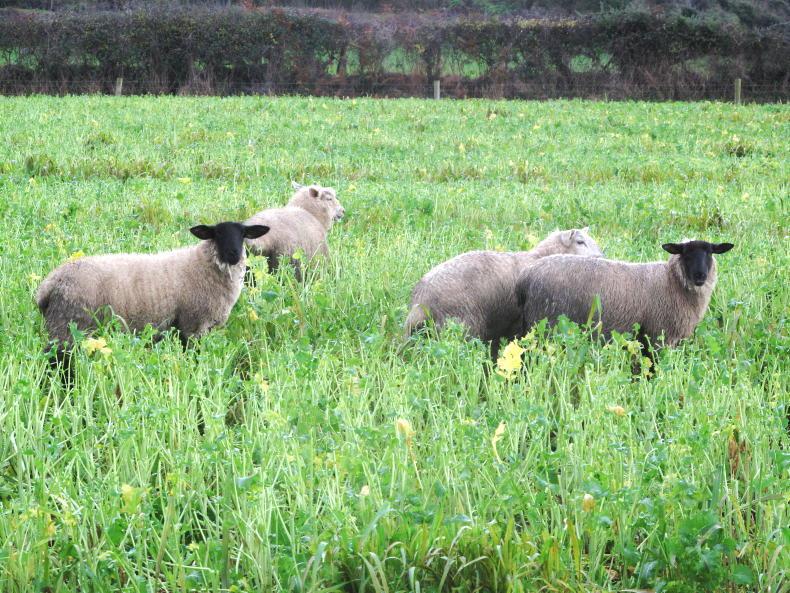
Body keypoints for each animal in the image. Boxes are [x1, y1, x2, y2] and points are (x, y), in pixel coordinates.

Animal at [36, 222, 269, 364]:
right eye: (217, 233)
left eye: (243, 234)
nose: (234, 254)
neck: (203, 265)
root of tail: (50, 283)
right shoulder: (192, 324)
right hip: (68, 328)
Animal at [515, 240, 734, 353]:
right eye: (685, 254)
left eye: (710, 253)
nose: (700, 276)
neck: (671, 281)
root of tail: (526, 276)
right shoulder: (659, 336)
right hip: (545, 327)